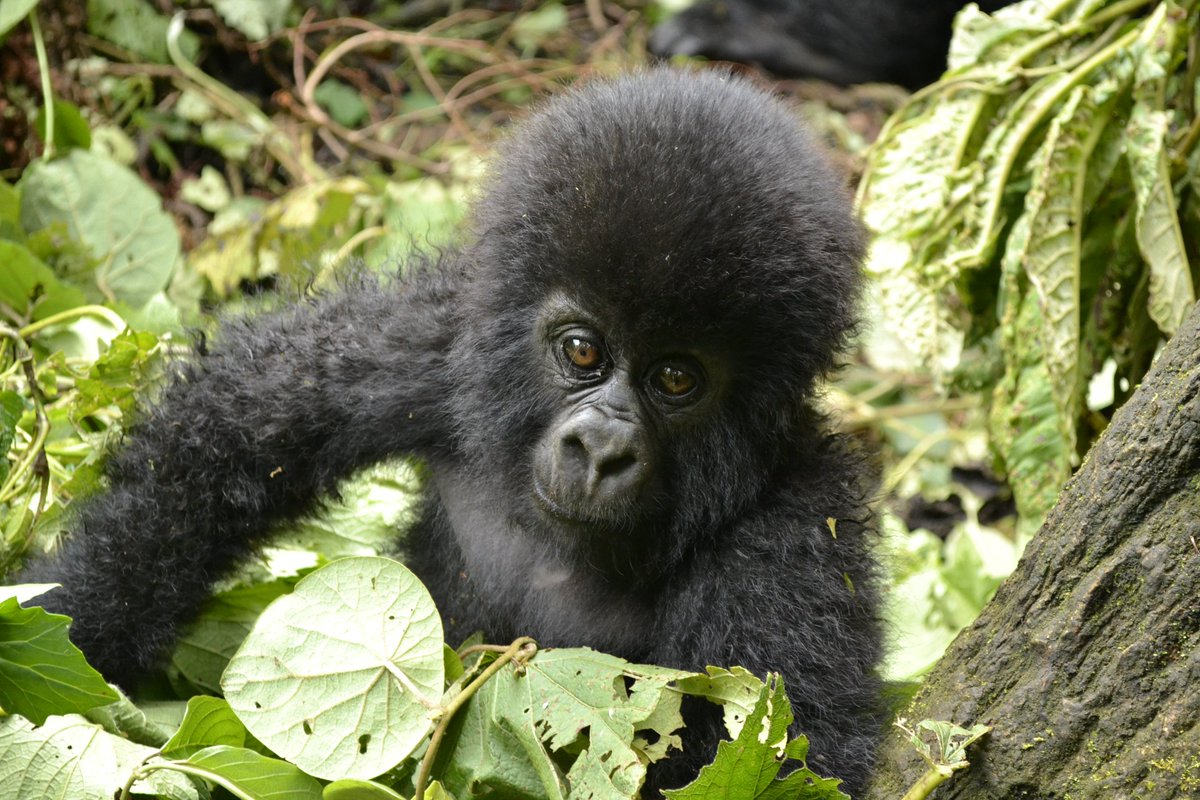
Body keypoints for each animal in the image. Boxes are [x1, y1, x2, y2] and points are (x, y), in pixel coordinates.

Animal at [16, 68, 883, 796]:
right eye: (582, 350)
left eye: (676, 380)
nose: (601, 450)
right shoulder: (439, 340)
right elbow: (235, 436)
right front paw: (64, 620)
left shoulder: (792, 538)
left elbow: (784, 758)